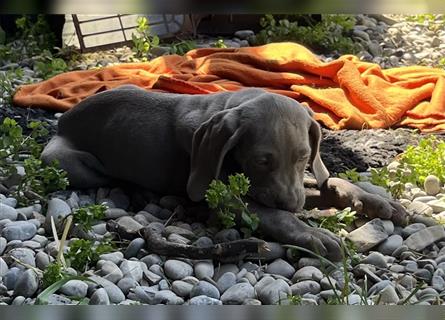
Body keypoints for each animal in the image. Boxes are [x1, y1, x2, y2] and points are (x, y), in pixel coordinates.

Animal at [42, 85, 406, 260]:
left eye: (304, 156)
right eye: (261, 161)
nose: (291, 205)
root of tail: (66, 116)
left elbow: (328, 183)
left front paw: (376, 201)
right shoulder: (220, 195)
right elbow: (270, 214)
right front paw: (311, 234)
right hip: (62, 160)